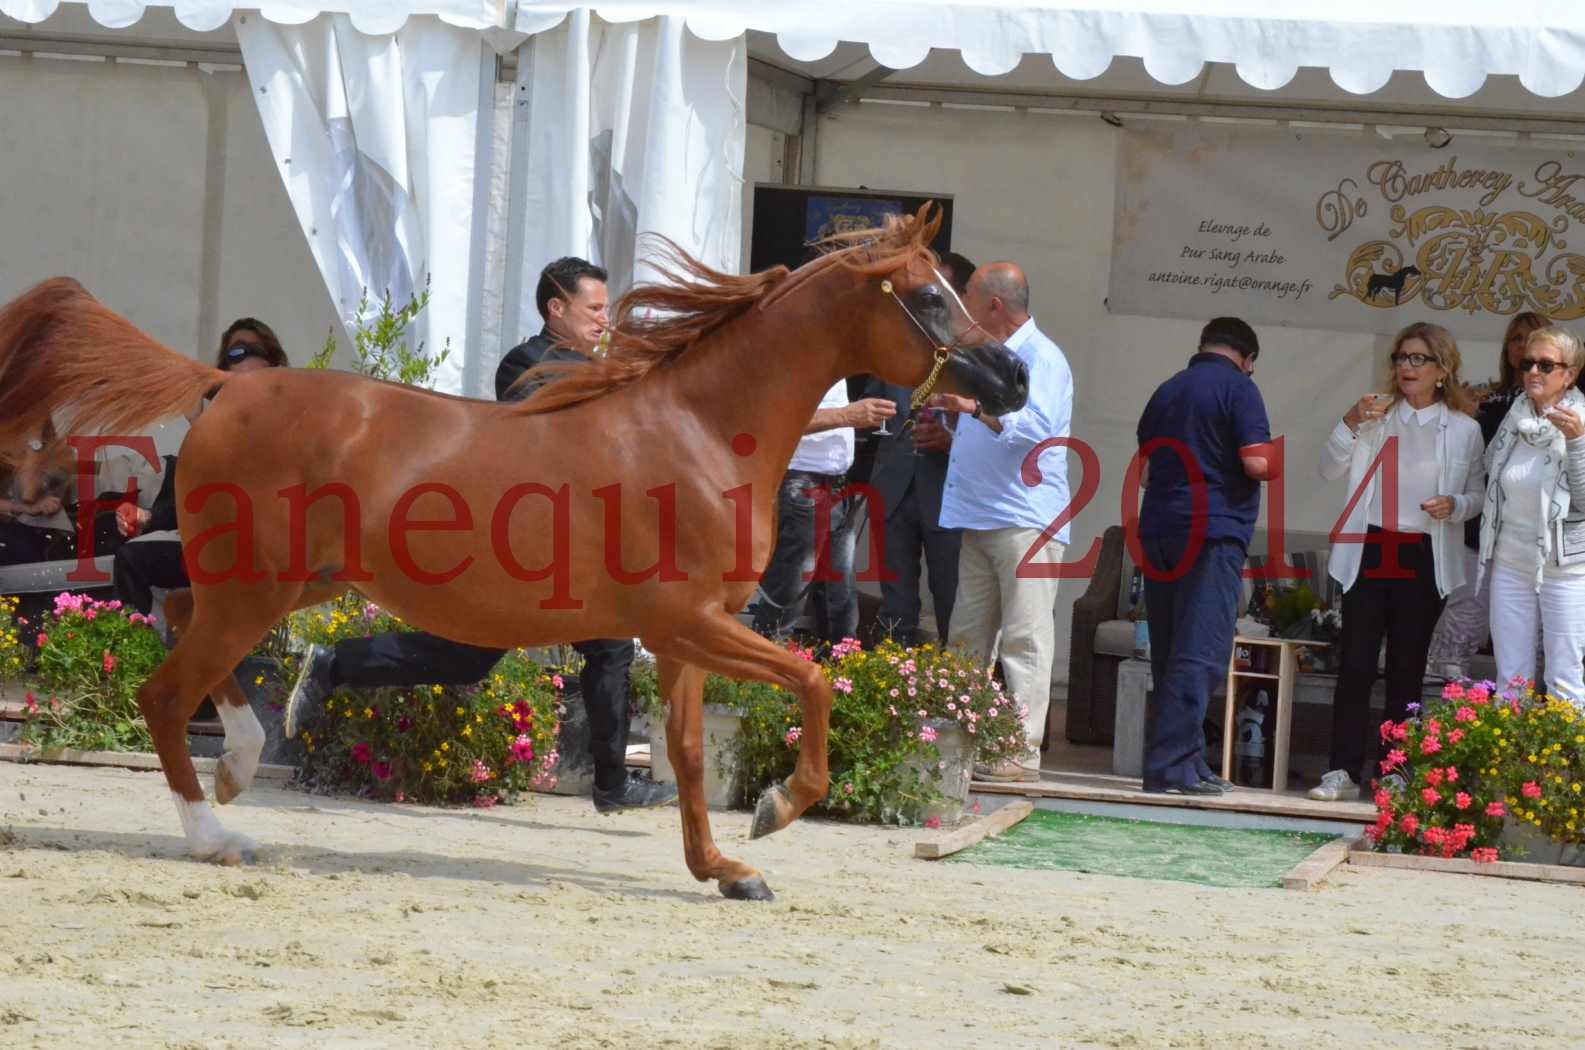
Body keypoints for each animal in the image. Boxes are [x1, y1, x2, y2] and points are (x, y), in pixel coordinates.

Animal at [0, 207, 1027, 907]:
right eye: (928, 296)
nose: (1013, 380)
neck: (697, 429)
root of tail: (224, 385)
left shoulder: (688, 634)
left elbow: (692, 754)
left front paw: (724, 868)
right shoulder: (686, 621)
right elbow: (812, 683)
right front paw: (777, 809)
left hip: (274, 584)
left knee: (178, 628)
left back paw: (241, 765)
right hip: (256, 587)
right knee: (163, 689)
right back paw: (216, 832)